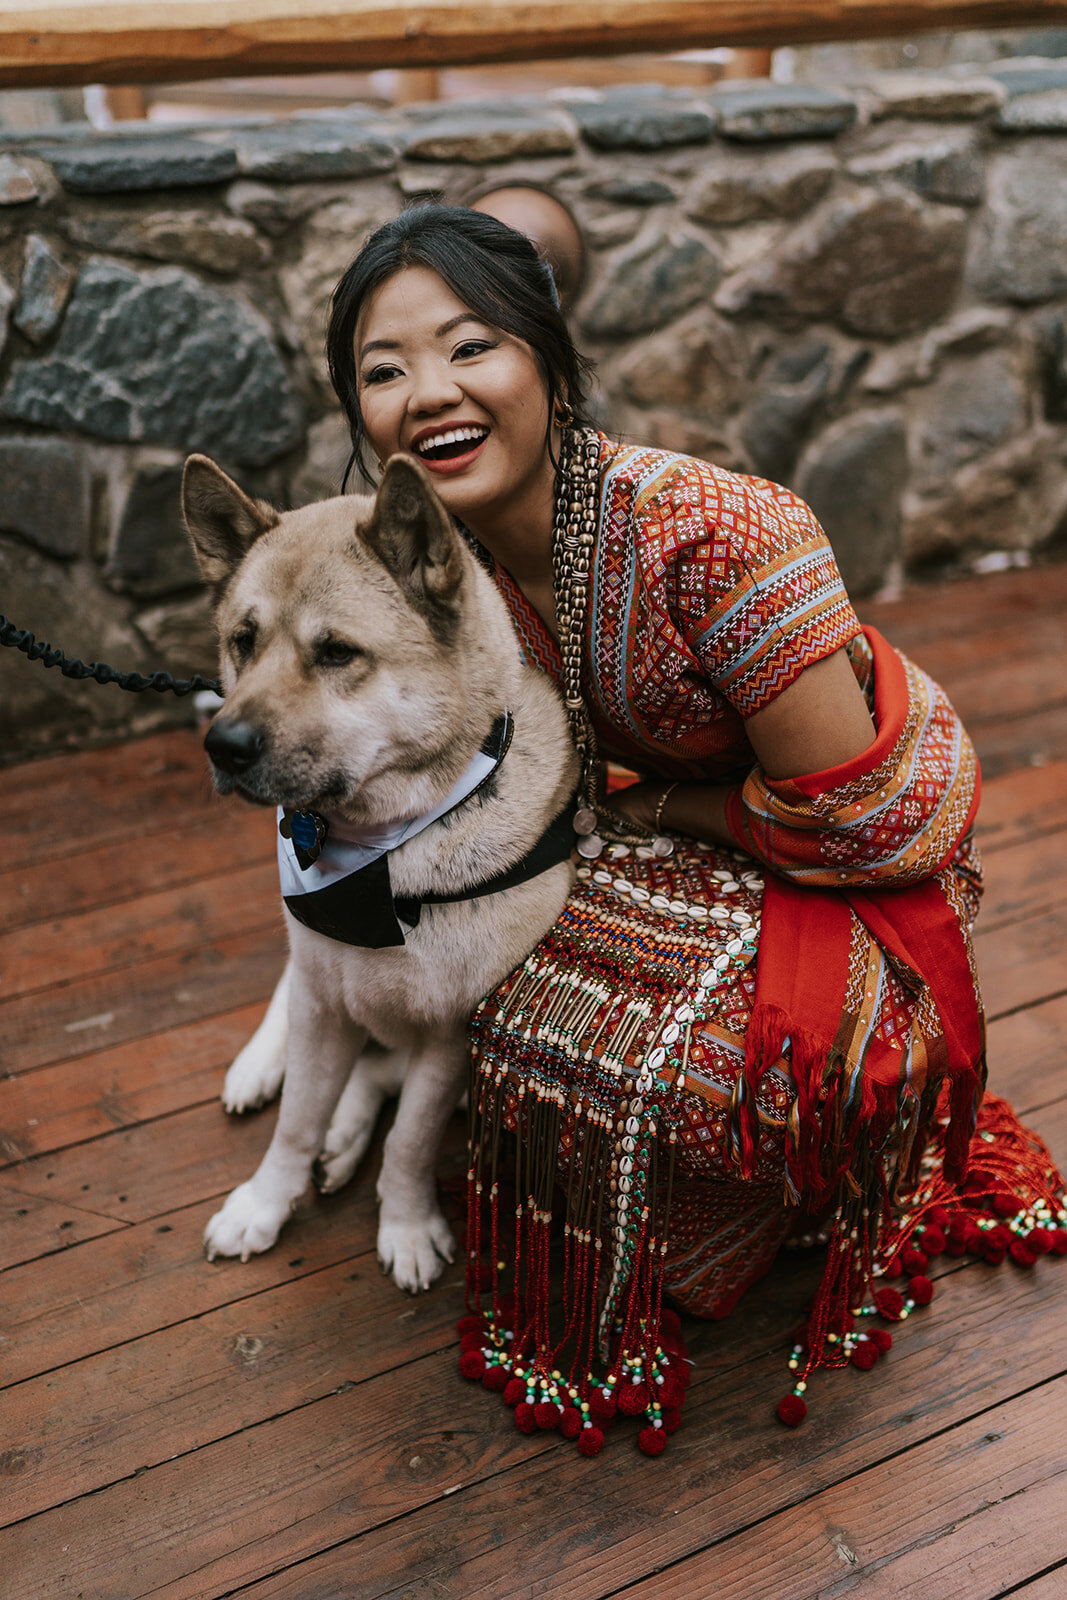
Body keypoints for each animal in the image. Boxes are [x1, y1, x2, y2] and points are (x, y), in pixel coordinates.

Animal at [187, 451, 579, 1286]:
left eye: (336, 652)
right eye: (243, 641)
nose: (221, 746)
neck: (386, 855)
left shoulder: (449, 1039)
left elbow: (410, 1140)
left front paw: (405, 1224)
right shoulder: (322, 1003)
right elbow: (295, 1121)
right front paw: (264, 1202)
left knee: (377, 1077)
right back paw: (262, 1073)